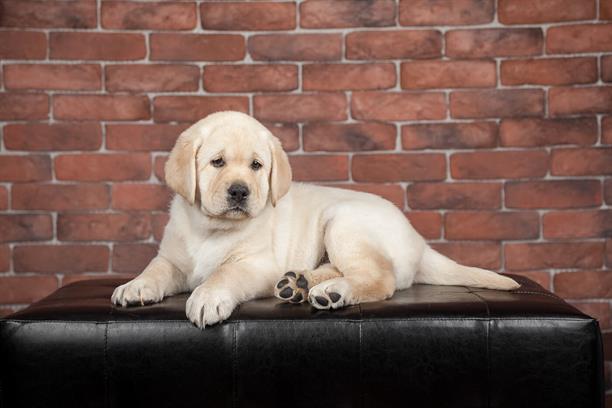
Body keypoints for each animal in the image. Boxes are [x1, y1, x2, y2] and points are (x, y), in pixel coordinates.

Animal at [111, 111, 520, 328]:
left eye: (256, 166)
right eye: (217, 162)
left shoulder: (257, 264)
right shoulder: (173, 259)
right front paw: (134, 286)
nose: (240, 192)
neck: (211, 228)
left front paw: (208, 298)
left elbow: (224, 273)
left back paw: (332, 292)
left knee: (380, 277)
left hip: (344, 223)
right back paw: (300, 283)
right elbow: (156, 269)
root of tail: (420, 243)